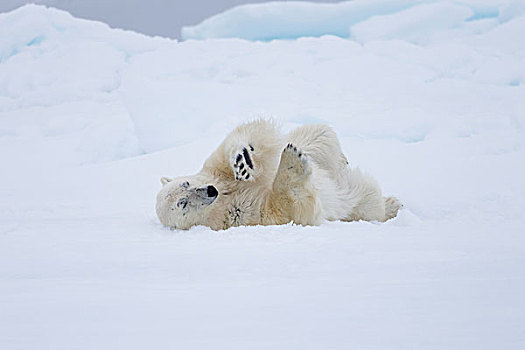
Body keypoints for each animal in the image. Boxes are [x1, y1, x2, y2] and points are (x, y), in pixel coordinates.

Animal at [157, 119, 402, 231]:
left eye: (186, 183)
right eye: (182, 204)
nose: (210, 190)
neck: (225, 197)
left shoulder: (215, 170)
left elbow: (237, 141)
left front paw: (242, 160)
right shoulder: (240, 217)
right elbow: (286, 210)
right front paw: (292, 162)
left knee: (320, 133)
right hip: (354, 202)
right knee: (366, 202)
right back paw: (391, 205)